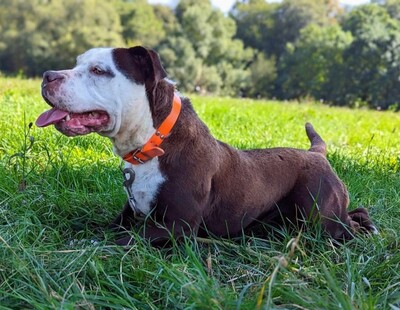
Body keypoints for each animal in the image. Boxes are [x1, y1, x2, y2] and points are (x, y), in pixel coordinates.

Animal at [36, 46, 376, 246]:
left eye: (98, 70)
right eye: (77, 64)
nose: (47, 75)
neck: (153, 141)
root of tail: (316, 154)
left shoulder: (176, 226)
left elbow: (117, 240)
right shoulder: (129, 215)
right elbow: (98, 227)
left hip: (320, 215)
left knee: (348, 225)